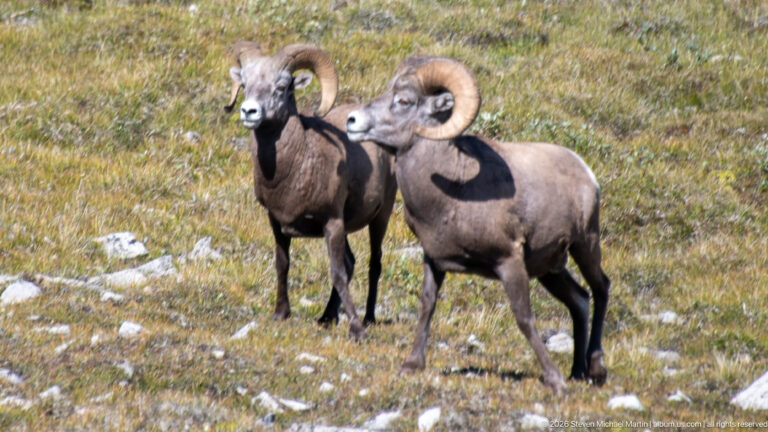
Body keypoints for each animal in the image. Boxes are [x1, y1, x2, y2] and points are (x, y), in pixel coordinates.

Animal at [224, 42, 397, 339]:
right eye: (245, 84)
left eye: (281, 87)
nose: (249, 112)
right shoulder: (276, 221)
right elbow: (283, 264)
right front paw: (280, 314)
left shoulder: (332, 222)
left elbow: (338, 272)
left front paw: (356, 330)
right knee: (352, 262)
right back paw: (327, 317)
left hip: (380, 217)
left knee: (374, 264)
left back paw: (368, 319)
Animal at [345, 55, 610, 393]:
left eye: (404, 101)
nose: (351, 121)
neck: (454, 190)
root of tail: (586, 172)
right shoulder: (434, 260)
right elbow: (426, 305)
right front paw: (412, 364)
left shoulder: (509, 262)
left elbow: (524, 317)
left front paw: (554, 380)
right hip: (550, 269)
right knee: (580, 300)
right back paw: (577, 372)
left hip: (585, 245)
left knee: (601, 289)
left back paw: (595, 370)